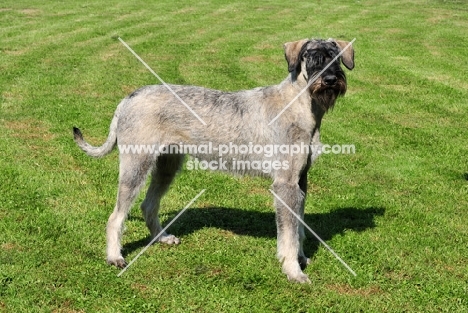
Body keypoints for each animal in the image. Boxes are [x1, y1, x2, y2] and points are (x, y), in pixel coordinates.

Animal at [73, 37, 352, 282]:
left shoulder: (300, 181)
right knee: (116, 216)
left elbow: (299, 227)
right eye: (311, 57)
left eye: (336, 58)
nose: (330, 79)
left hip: (166, 166)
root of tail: (129, 98)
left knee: (148, 205)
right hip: (136, 165)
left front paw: (301, 258)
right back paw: (115, 256)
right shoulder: (285, 184)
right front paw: (294, 271)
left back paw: (162, 238)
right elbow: (289, 234)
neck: (300, 104)